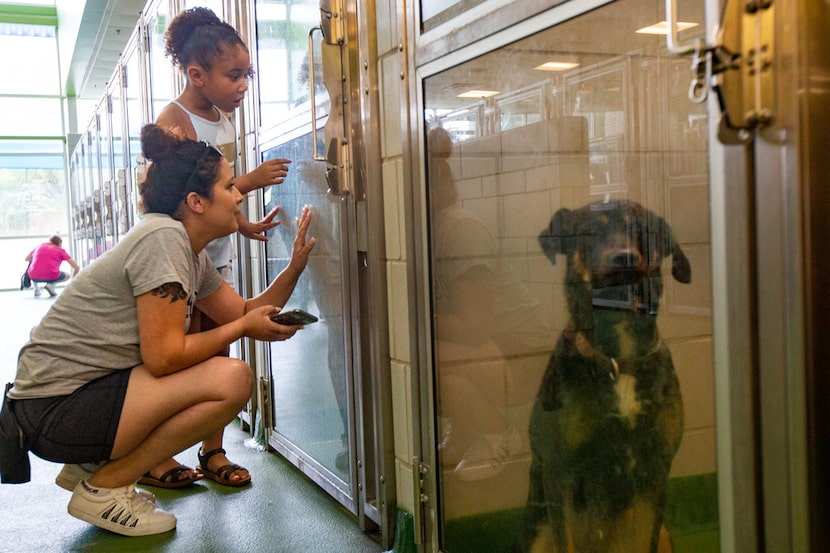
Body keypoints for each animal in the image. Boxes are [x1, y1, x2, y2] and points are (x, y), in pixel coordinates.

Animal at [520, 199, 688, 552]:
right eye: (590, 230)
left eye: (643, 229)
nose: (623, 258)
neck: (618, 357)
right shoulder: (560, 471)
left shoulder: (655, 472)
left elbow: (646, 538)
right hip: (538, 534)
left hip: (666, 535)